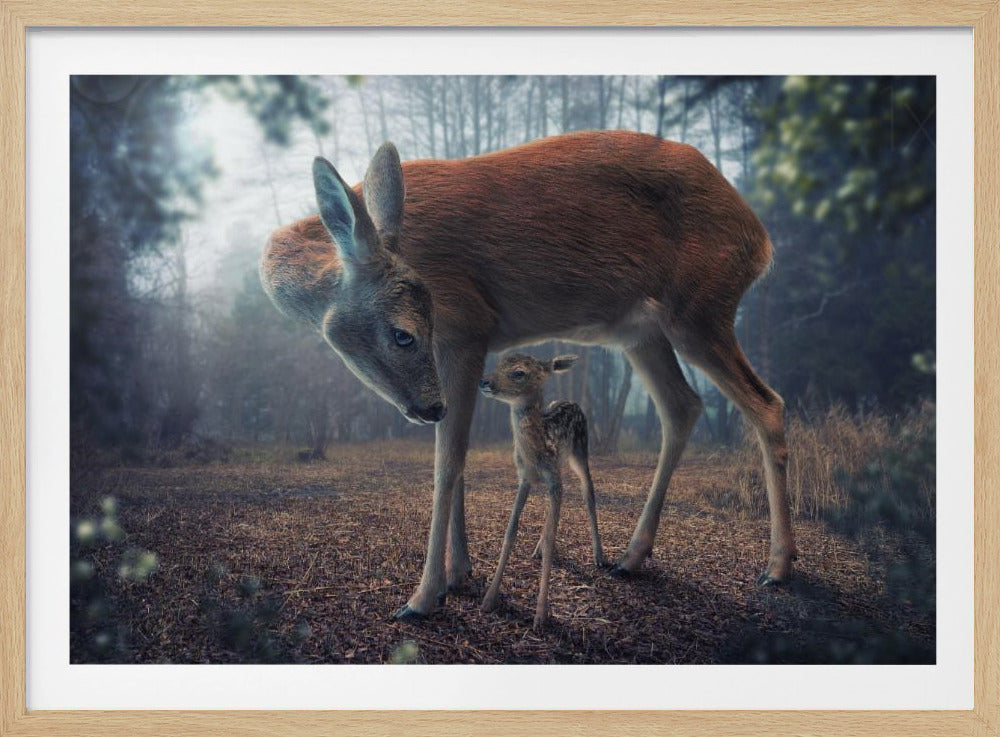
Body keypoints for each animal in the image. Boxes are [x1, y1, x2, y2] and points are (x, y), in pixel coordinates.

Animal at [478, 352, 603, 630]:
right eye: (499, 362)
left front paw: (541, 615)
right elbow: (511, 530)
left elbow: (552, 535)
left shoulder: (553, 479)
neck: (535, 452)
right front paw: (489, 599)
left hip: (580, 451)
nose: (484, 381)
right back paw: (537, 549)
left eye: (519, 372)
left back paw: (599, 556)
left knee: (588, 493)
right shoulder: (524, 478)